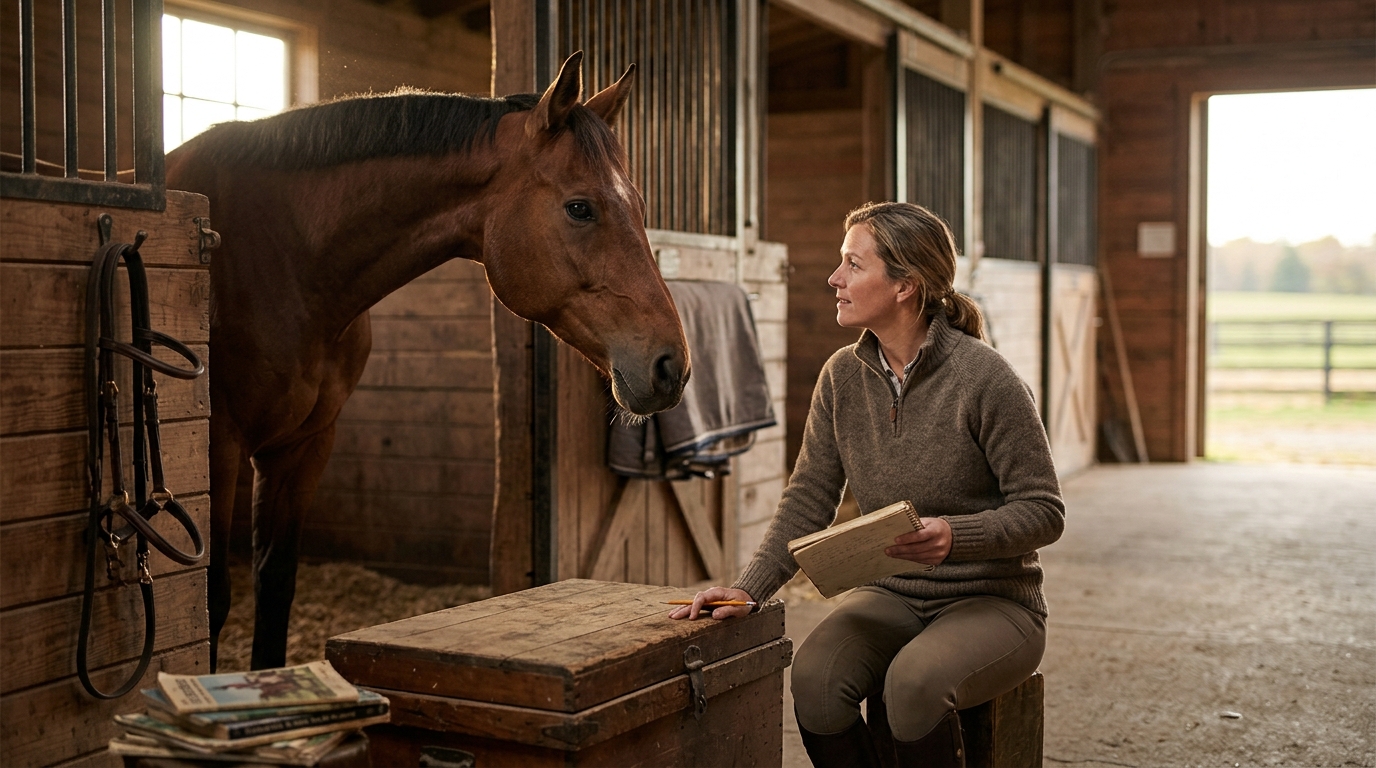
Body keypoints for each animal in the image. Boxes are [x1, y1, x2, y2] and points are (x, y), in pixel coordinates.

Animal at [165, 53, 691, 670]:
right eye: (580, 207)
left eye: (639, 205)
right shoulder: (218, 444)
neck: (282, 256)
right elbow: (212, 600)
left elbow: (274, 586)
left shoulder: (304, 445)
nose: (671, 365)